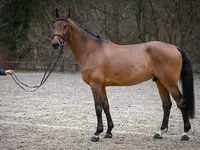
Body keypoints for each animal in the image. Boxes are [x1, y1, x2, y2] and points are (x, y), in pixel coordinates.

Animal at [52, 9, 195, 142]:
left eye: (65, 26)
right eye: (54, 26)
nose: (55, 44)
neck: (92, 50)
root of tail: (175, 48)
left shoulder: (95, 85)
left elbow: (98, 107)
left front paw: (97, 133)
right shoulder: (102, 86)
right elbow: (106, 106)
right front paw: (108, 132)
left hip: (169, 83)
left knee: (181, 103)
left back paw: (185, 133)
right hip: (160, 81)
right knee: (166, 104)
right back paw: (160, 132)